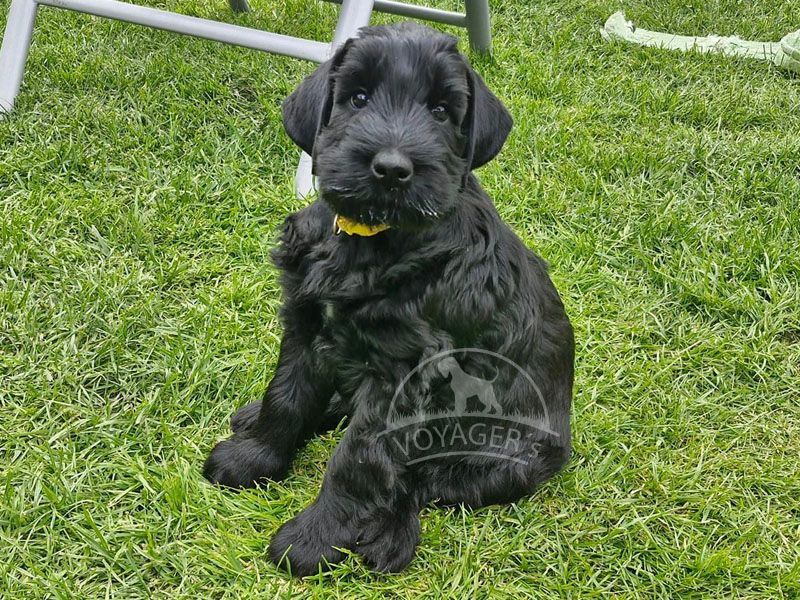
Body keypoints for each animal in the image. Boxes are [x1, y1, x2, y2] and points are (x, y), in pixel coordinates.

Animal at [203, 22, 574, 576]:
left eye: (441, 110)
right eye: (358, 97)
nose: (393, 168)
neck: (372, 240)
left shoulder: (403, 374)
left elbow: (358, 459)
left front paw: (313, 540)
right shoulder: (306, 323)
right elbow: (286, 395)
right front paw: (254, 457)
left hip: (507, 456)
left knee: (421, 482)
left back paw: (387, 535)